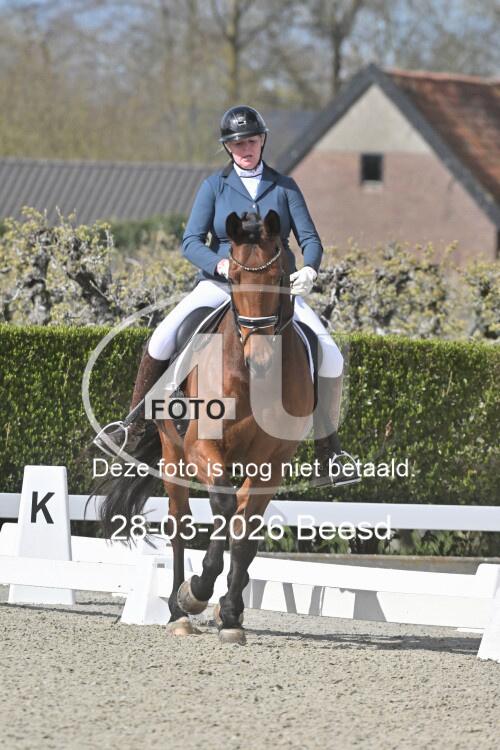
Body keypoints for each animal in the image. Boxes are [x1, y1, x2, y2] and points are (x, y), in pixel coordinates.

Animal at [99, 209, 314, 644]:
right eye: (233, 276)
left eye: (280, 276)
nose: (260, 359)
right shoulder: (201, 448)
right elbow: (224, 509)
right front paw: (196, 593)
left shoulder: (272, 462)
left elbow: (245, 531)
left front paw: (229, 613)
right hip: (173, 454)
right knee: (180, 522)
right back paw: (176, 610)